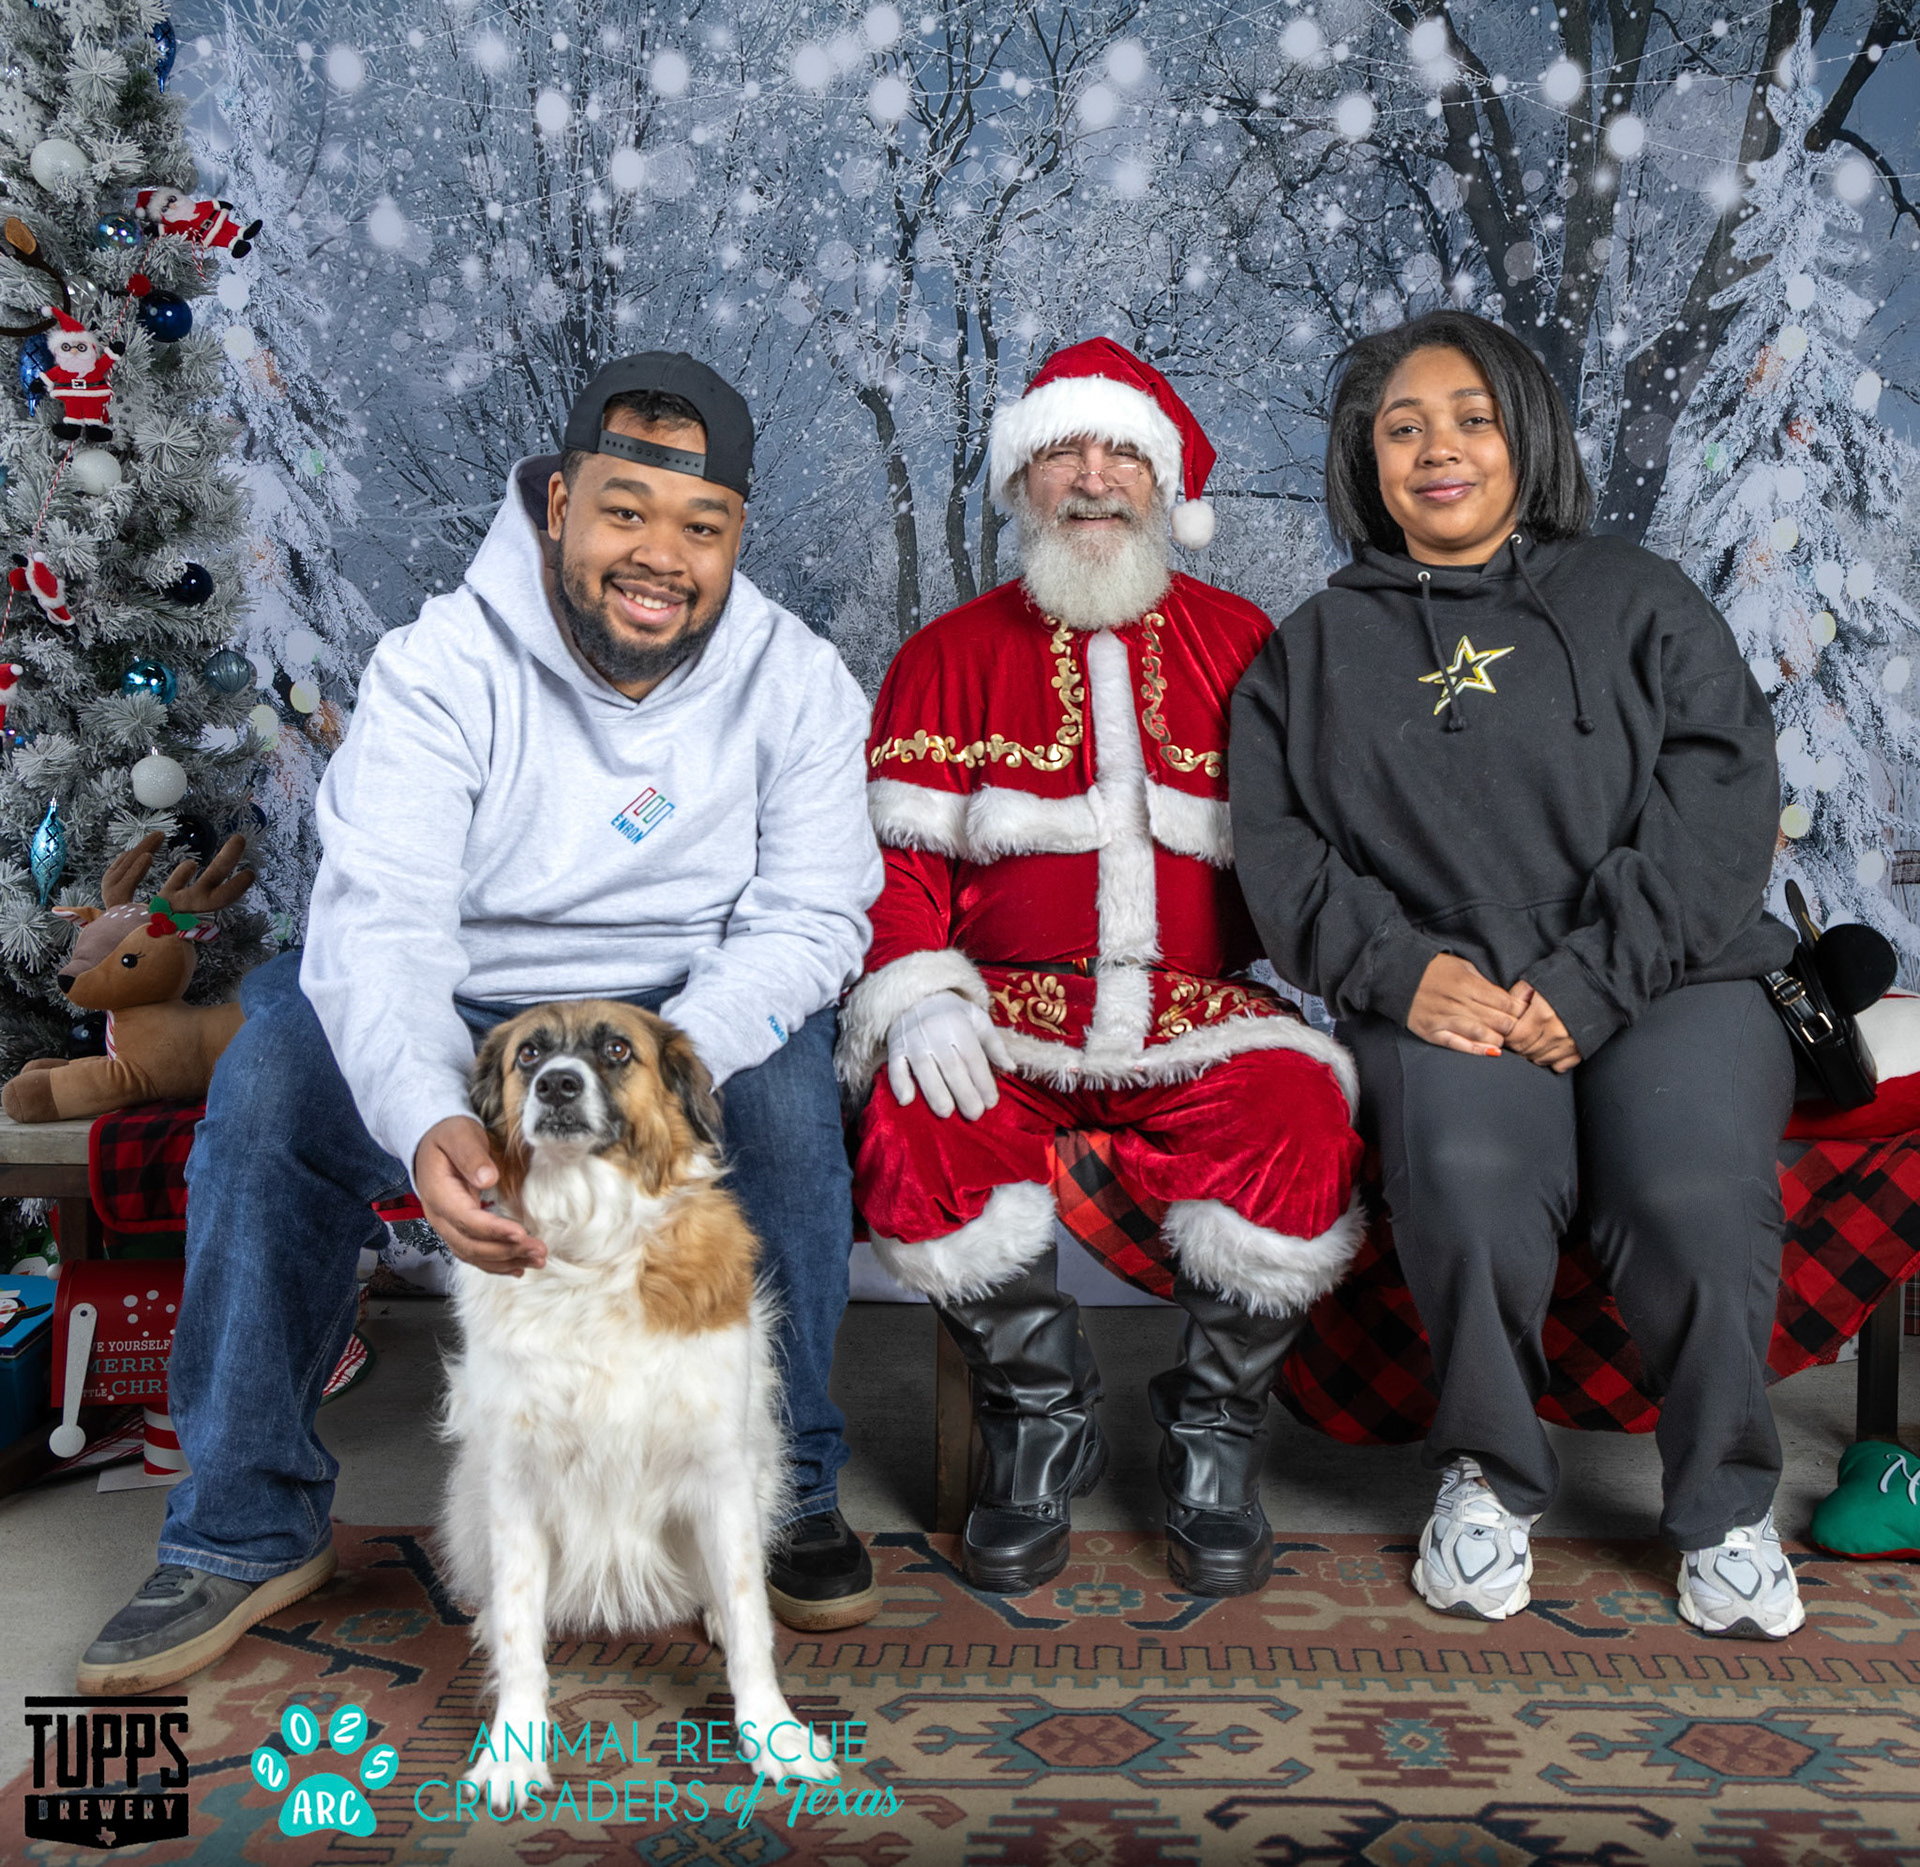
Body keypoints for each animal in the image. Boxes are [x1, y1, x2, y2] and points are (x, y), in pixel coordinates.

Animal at [442, 999, 837, 1810]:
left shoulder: (719, 1472)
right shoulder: (515, 1482)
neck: (590, 1253)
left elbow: (749, 1619)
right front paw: (513, 1752)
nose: (558, 1085)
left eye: (617, 1050)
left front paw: (773, 1736)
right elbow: (522, 1630)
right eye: (529, 1056)